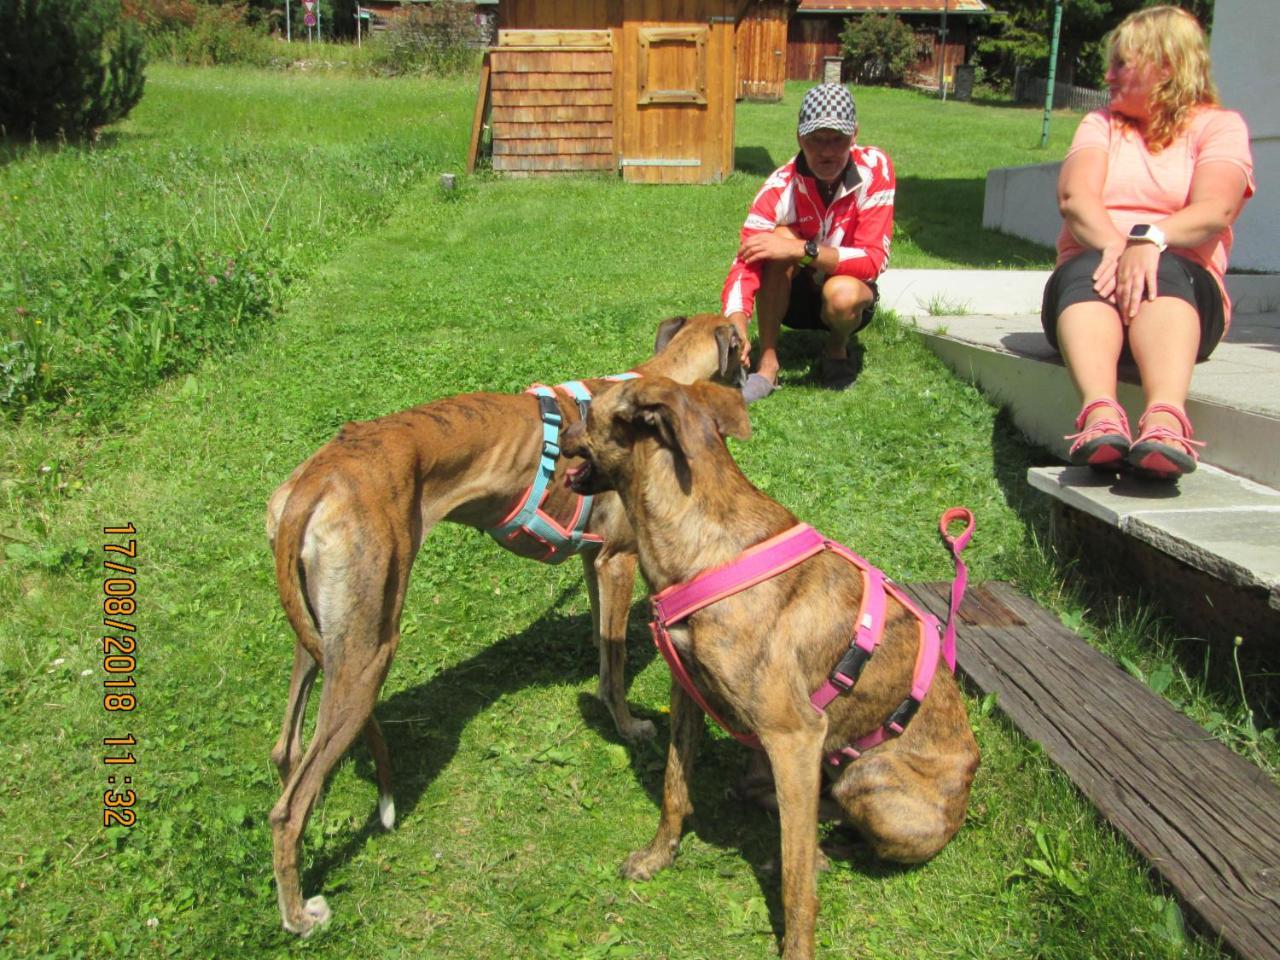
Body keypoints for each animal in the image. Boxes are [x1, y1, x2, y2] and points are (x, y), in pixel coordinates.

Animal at [267, 317, 747, 942]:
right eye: (745, 348)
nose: (767, 379)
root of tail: (313, 481)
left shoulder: (592, 563)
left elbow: (601, 653)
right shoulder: (617, 562)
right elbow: (616, 664)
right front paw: (627, 727)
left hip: (324, 638)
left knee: (287, 751)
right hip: (367, 656)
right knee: (285, 812)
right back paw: (300, 915)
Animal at [560, 378, 977, 960]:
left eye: (586, 409)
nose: (558, 433)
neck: (704, 542)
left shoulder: (795, 736)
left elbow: (797, 885)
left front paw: (796, 943)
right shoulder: (688, 691)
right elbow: (673, 786)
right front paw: (658, 855)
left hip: (871, 782)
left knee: (840, 827)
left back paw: (824, 845)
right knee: (797, 802)